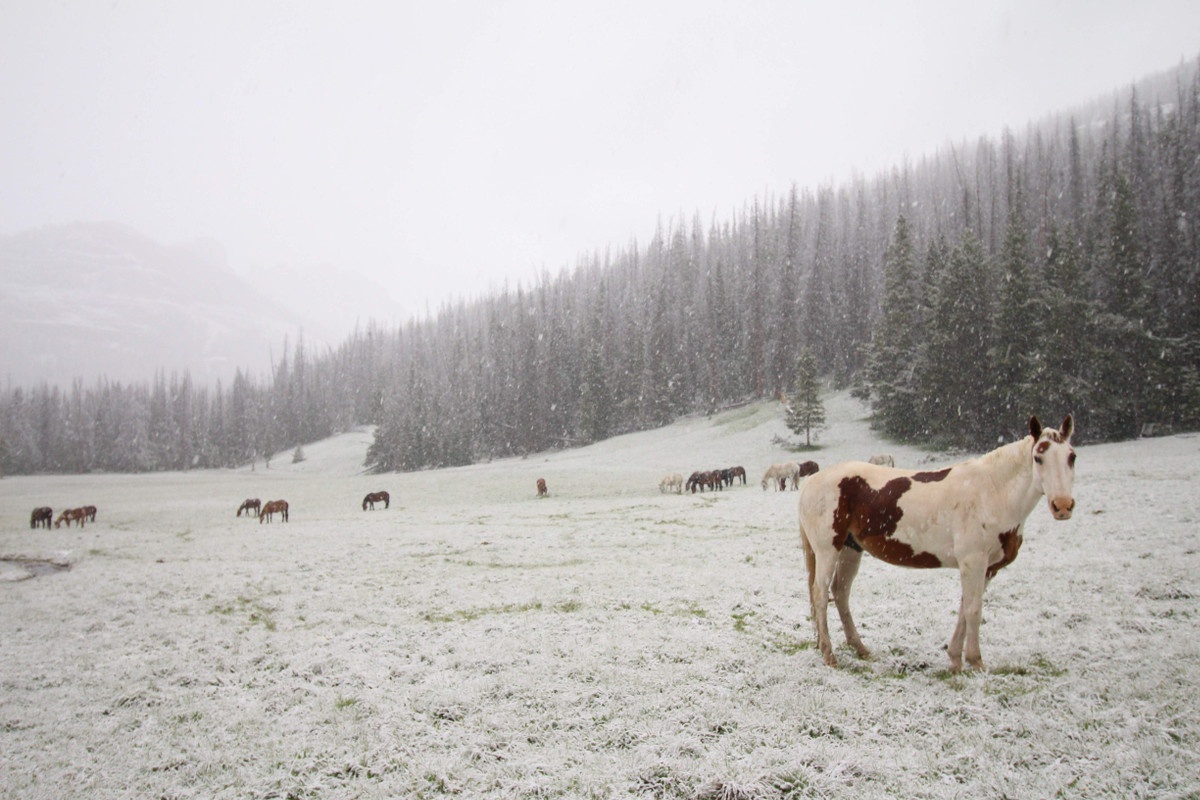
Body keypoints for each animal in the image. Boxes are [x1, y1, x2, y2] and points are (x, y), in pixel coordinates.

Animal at [798, 415, 1076, 672]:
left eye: (1071, 457)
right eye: (1038, 458)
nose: (1062, 506)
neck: (992, 491)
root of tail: (811, 482)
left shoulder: (985, 569)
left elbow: (964, 609)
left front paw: (955, 660)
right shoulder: (973, 562)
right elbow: (974, 610)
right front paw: (975, 662)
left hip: (851, 551)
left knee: (840, 593)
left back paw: (859, 648)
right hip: (827, 551)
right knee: (821, 595)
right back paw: (829, 654)